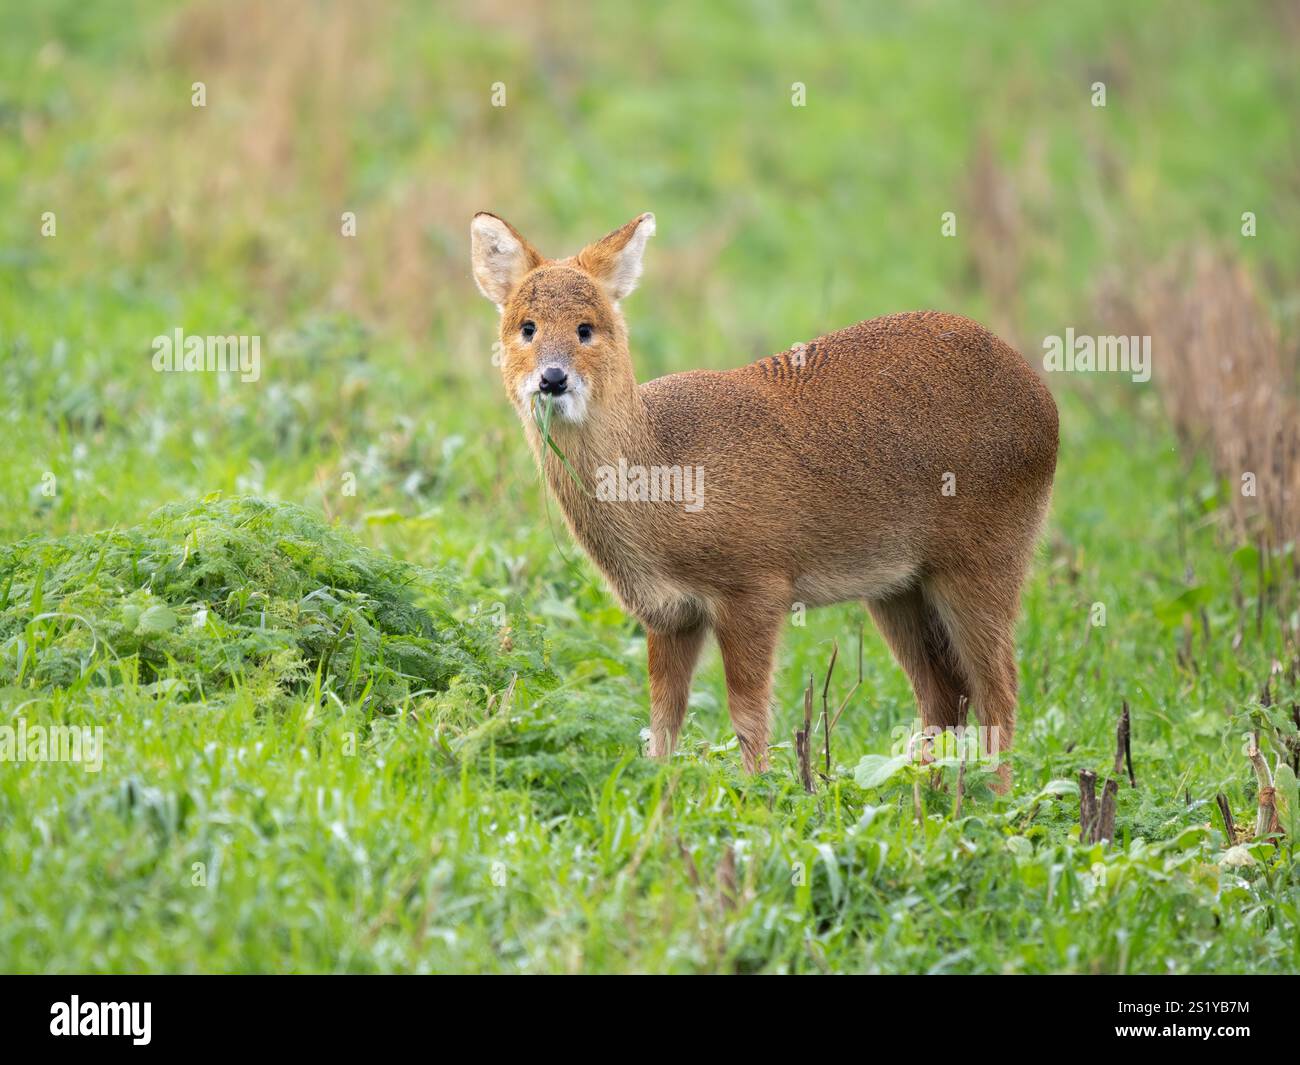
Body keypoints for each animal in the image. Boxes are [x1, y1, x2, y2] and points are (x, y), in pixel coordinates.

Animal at [470, 211, 1055, 785]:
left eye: (586, 328)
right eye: (526, 327)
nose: (552, 378)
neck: (663, 479)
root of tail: (1046, 404)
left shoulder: (756, 584)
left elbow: (749, 717)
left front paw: (758, 795)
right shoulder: (668, 613)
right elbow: (664, 721)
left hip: (987, 558)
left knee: (1000, 691)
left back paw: (996, 799)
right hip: (899, 586)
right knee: (945, 695)